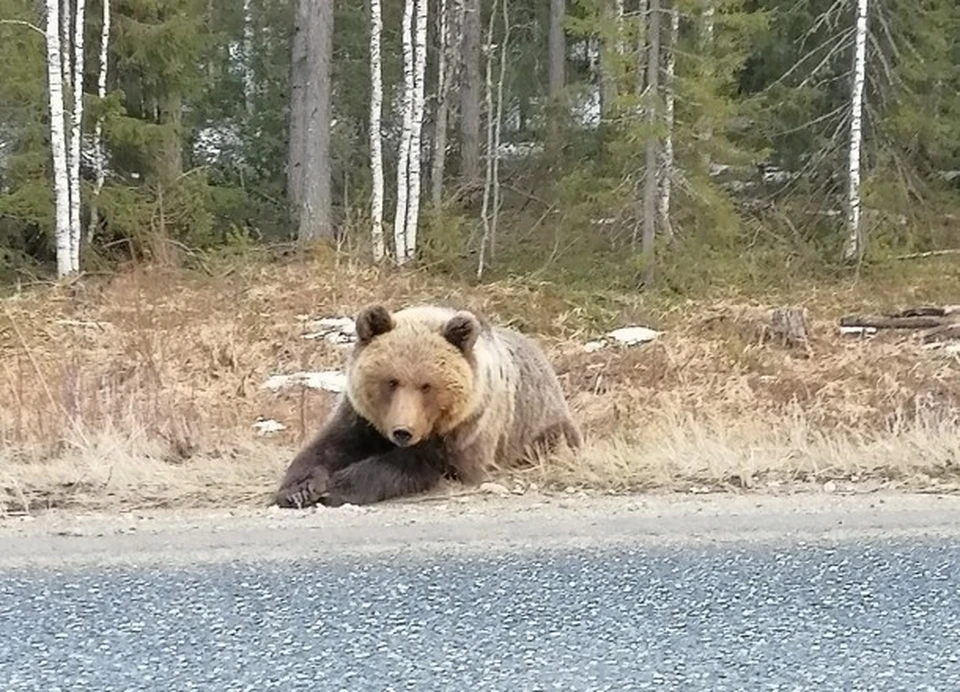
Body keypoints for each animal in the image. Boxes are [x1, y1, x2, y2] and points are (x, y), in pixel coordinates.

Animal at [272, 302, 584, 508]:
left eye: (427, 386)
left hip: (541, 426)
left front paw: (337, 487)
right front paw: (300, 489)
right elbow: (327, 446)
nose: (402, 431)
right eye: (391, 381)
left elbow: (419, 464)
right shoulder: (362, 417)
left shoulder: (468, 430)